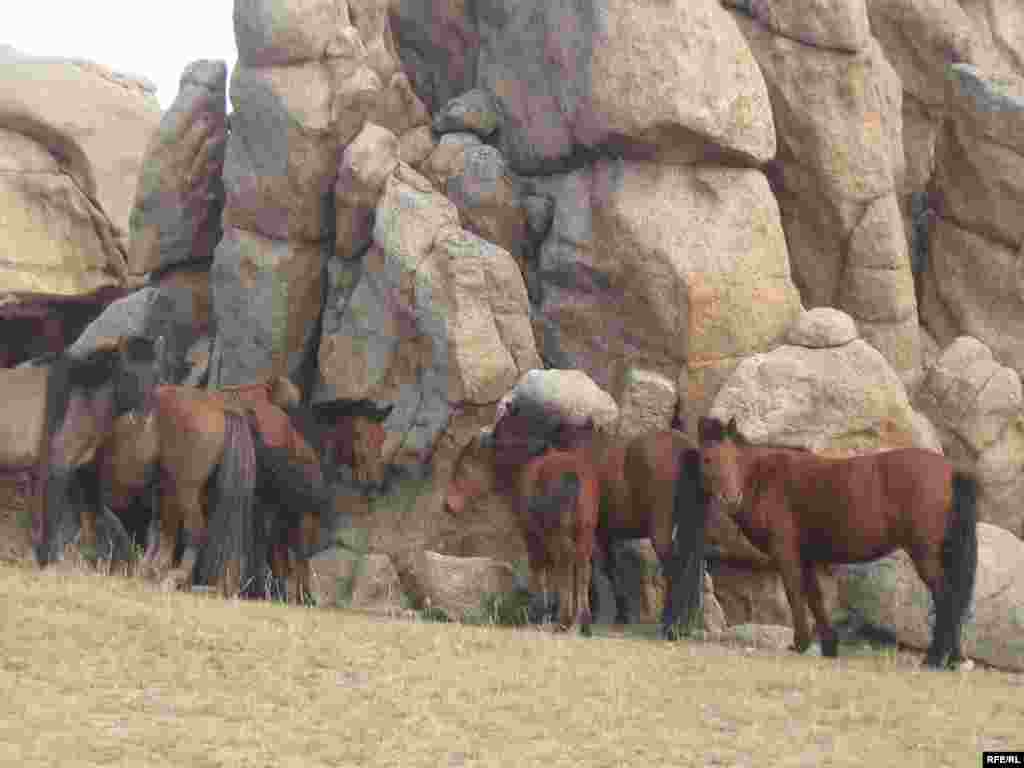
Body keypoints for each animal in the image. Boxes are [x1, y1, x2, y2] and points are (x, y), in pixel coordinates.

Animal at [1, 335, 165, 565]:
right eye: (128, 373)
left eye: (156, 374)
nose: (143, 416)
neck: (84, 397)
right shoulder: (58, 467)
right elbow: (52, 522)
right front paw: (48, 563)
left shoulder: (67, 469)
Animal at [448, 405, 712, 638]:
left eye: (464, 464)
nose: (449, 505)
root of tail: (688, 450)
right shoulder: (598, 534)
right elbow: (603, 570)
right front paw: (613, 614)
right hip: (692, 528)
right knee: (693, 570)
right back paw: (684, 625)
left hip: (661, 529)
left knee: (676, 568)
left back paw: (669, 626)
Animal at [700, 417, 978, 671]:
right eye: (708, 459)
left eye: (735, 458)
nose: (732, 499)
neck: (765, 479)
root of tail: (950, 472)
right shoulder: (805, 557)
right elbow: (815, 597)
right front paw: (828, 646)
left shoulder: (786, 553)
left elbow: (794, 593)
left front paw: (800, 644)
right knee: (954, 598)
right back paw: (954, 659)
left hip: (925, 555)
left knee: (946, 597)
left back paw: (933, 658)